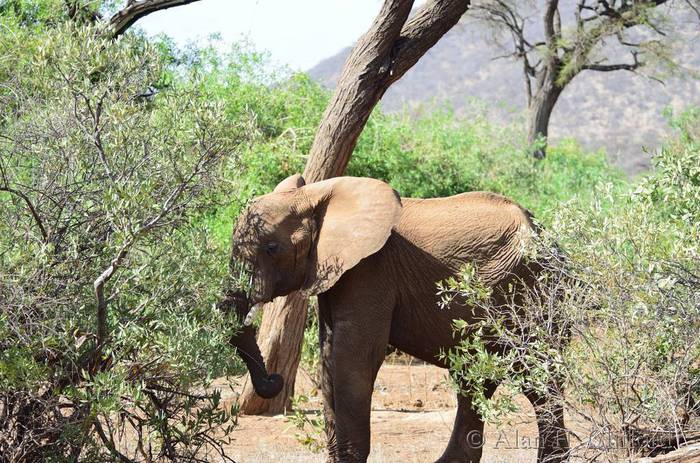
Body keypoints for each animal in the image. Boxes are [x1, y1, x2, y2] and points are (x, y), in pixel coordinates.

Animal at [230, 174, 570, 463]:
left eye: (272, 247)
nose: (275, 379)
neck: (314, 195)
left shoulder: (371, 269)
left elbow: (354, 359)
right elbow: (329, 358)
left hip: (536, 293)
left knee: (538, 381)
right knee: (474, 382)